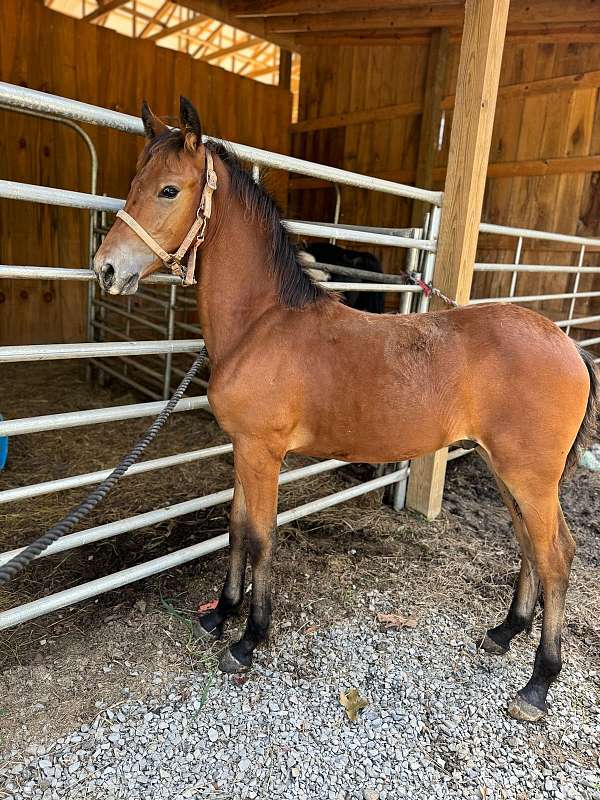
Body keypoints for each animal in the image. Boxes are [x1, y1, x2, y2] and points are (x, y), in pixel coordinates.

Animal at [95, 97, 600, 720]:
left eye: (168, 189)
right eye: (135, 182)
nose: (106, 268)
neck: (263, 324)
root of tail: (570, 348)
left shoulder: (263, 452)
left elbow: (259, 535)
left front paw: (248, 640)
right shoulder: (243, 449)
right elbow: (235, 525)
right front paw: (221, 615)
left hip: (529, 475)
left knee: (556, 555)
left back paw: (538, 683)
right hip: (508, 471)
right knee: (530, 544)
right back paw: (505, 632)